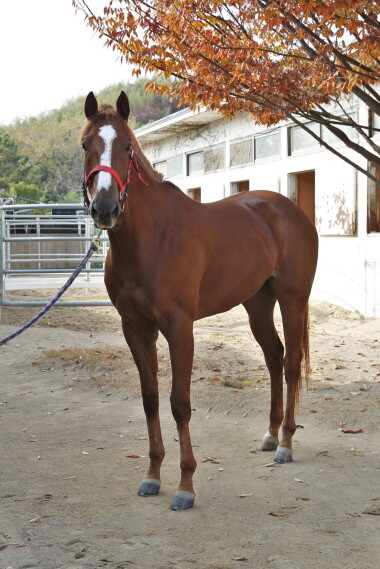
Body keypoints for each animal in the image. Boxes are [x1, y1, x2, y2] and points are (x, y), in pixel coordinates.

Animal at [82, 91, 318, 508]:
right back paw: (271, 433)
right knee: (273, 357)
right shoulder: (135, 329)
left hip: (292, 300)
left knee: (291, 363)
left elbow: (179, 403)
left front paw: (185, 486)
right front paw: (152, 476)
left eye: (127, 147)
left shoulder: (179, 328)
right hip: (257, 304)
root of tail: (291, 211)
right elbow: (150, 398)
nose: (105, 208)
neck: (151, 239)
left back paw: (285, 444)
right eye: (85, 146)